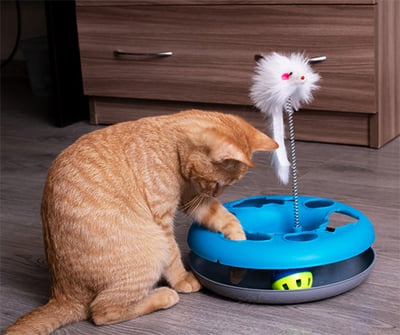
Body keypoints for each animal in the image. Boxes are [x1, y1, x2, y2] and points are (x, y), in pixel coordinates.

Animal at [4, 109, 276, 334]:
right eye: (218, 184)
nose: (216, 194)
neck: (169, 142)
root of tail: (62, 295)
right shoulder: (163, 219)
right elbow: (173, 255)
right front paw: (182, 279)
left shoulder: (193, 198)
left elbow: (224, 217)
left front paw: (239, 245)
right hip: (151, 248)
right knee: (101, 311)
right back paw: (164, 295)